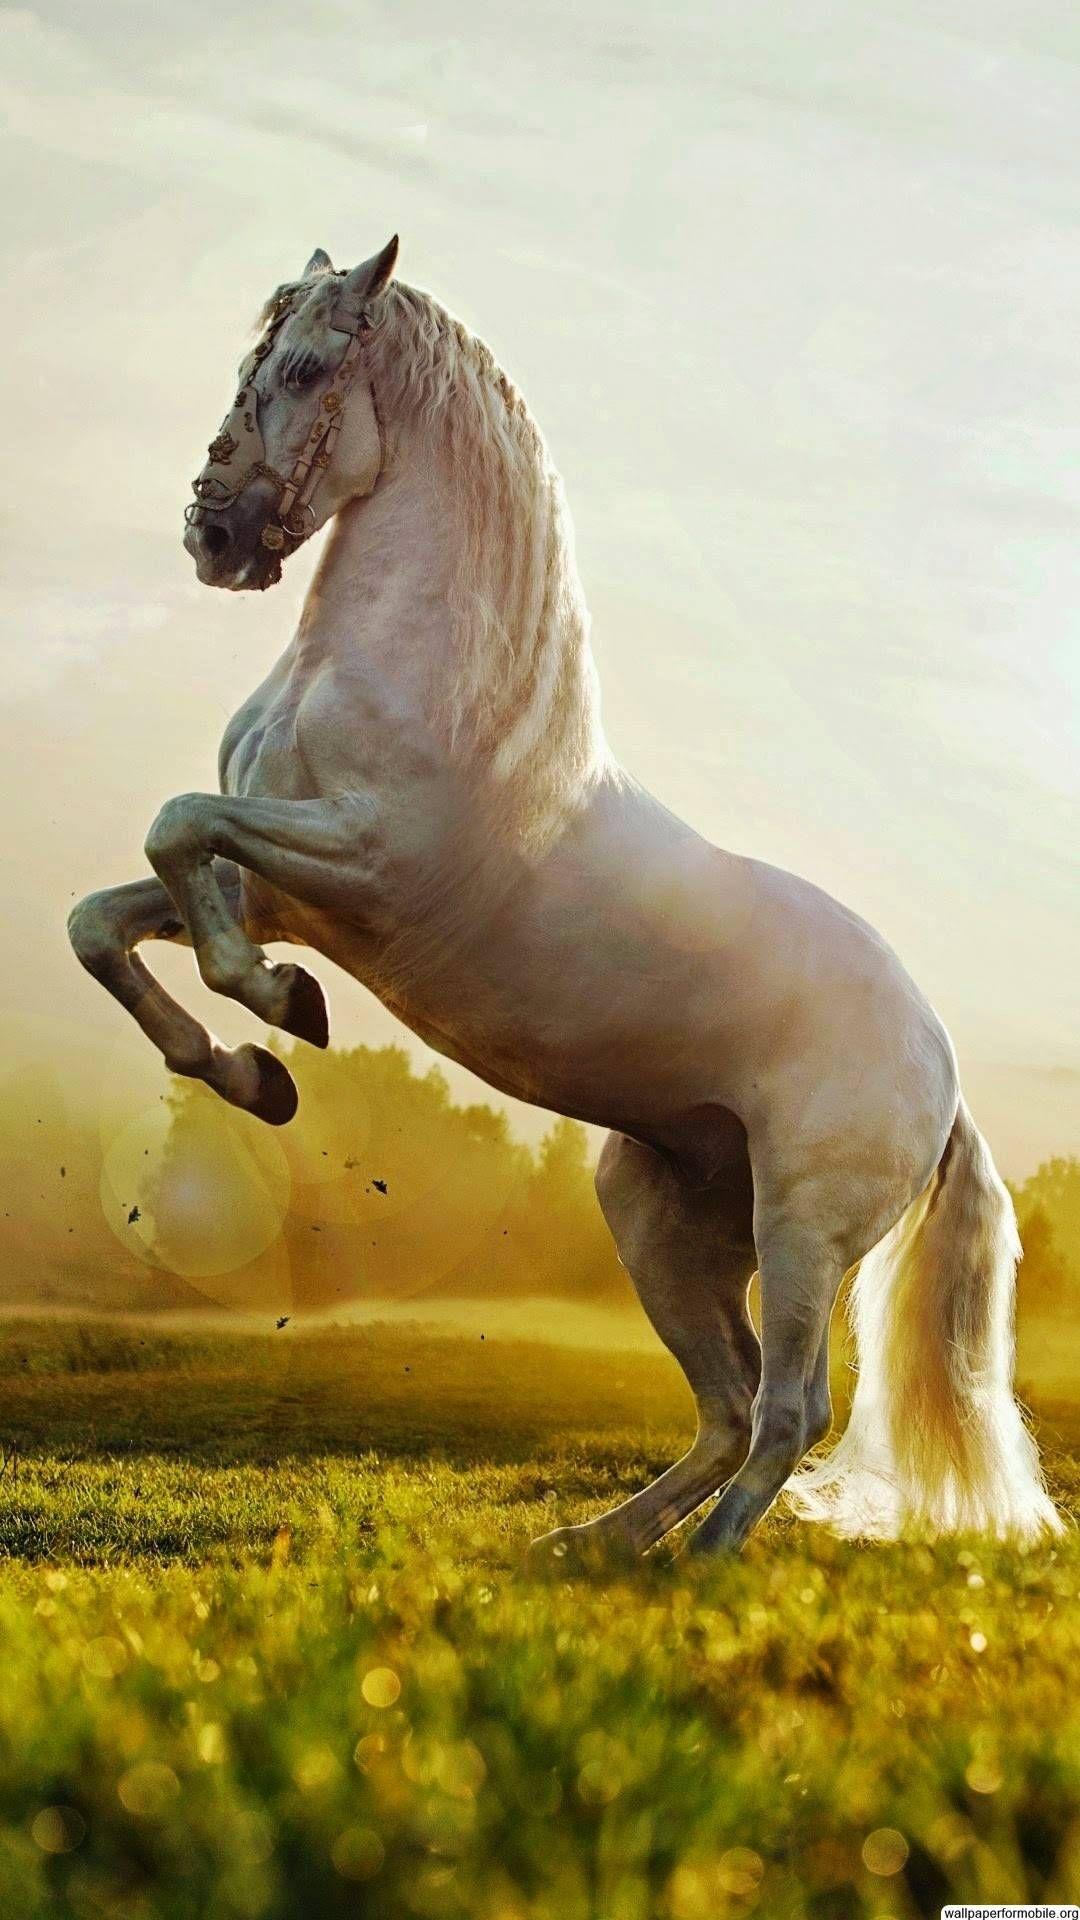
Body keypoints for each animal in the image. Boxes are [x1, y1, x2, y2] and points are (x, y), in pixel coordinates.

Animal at [68, 237, 1060, 1557]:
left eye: (311, 367)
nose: (213, 533)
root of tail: (940, 1072)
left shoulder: (358, 866)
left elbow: (179, 831)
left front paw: (280, 1016)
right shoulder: (278, 888)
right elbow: (109, 915)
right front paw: (251, 1070)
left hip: (801, 1230)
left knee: (789, 1409)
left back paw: (697, 1566)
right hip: (659, 1215)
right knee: (729, 1405)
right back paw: (592, 1548)